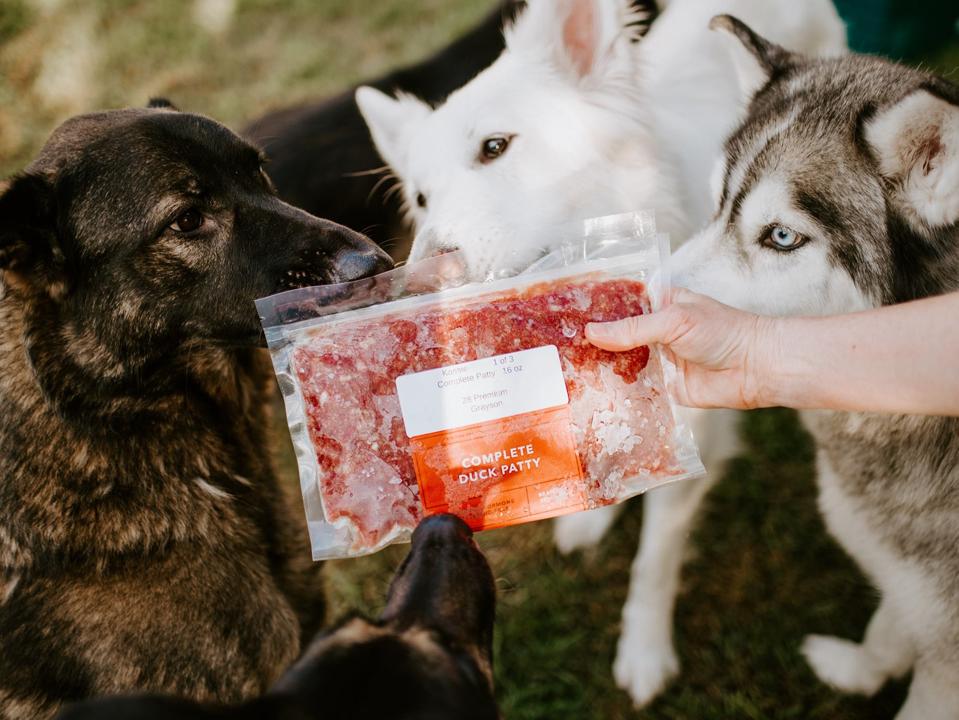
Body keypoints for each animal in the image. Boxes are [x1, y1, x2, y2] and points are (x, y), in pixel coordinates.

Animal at [358, 0, 848, 704]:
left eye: (495, 147)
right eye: (421, 198)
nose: (421, 281)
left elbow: (655, 557)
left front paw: (643, 648)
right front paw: (591, 511)